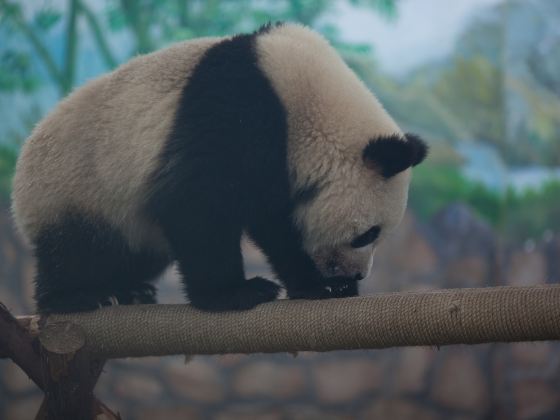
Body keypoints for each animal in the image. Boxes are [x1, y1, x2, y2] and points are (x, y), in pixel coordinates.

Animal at [12, 21, 424, 314]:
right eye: (367, 235)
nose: (357, 273)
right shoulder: (237, 111)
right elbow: (196, 202)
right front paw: (236, 292)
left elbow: (276, 224)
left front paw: (319, 285)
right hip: (75, 186)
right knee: (75, 249)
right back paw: (77, 296)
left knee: (134, 253)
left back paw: (129, 289)